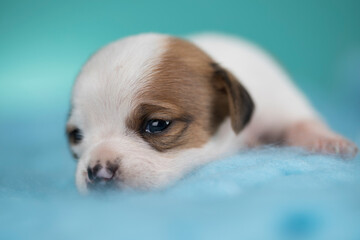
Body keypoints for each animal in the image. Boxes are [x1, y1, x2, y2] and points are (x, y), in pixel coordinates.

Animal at [67, 32, 358, 193]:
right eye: (76, 136)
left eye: (158, 124)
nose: (98, 172)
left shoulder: (281, 103)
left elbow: (302, 123)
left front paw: (328, 141)